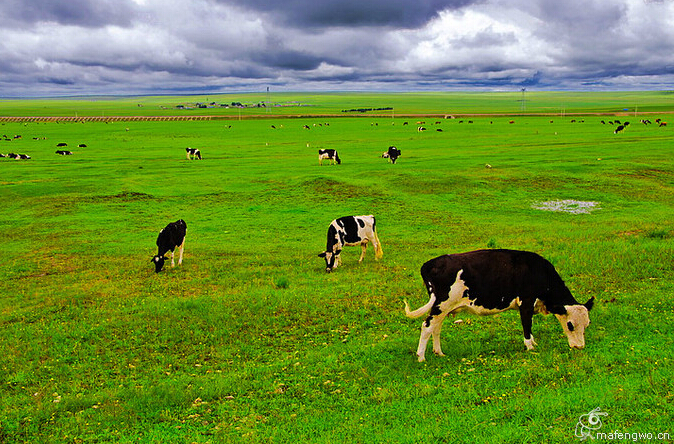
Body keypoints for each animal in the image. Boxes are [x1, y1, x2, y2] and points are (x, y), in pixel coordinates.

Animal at [402, 250, 592, 360]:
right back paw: (421, 357)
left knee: (435, 328)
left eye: (587, 325)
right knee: (427, 326)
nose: (580, 347)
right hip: (441, 305)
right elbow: (527, 325)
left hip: (442, 308)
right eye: (570, 325)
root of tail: (430, 263)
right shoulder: (526, 302)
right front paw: (530, 346)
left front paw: (534, 343)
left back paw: (439, 352)